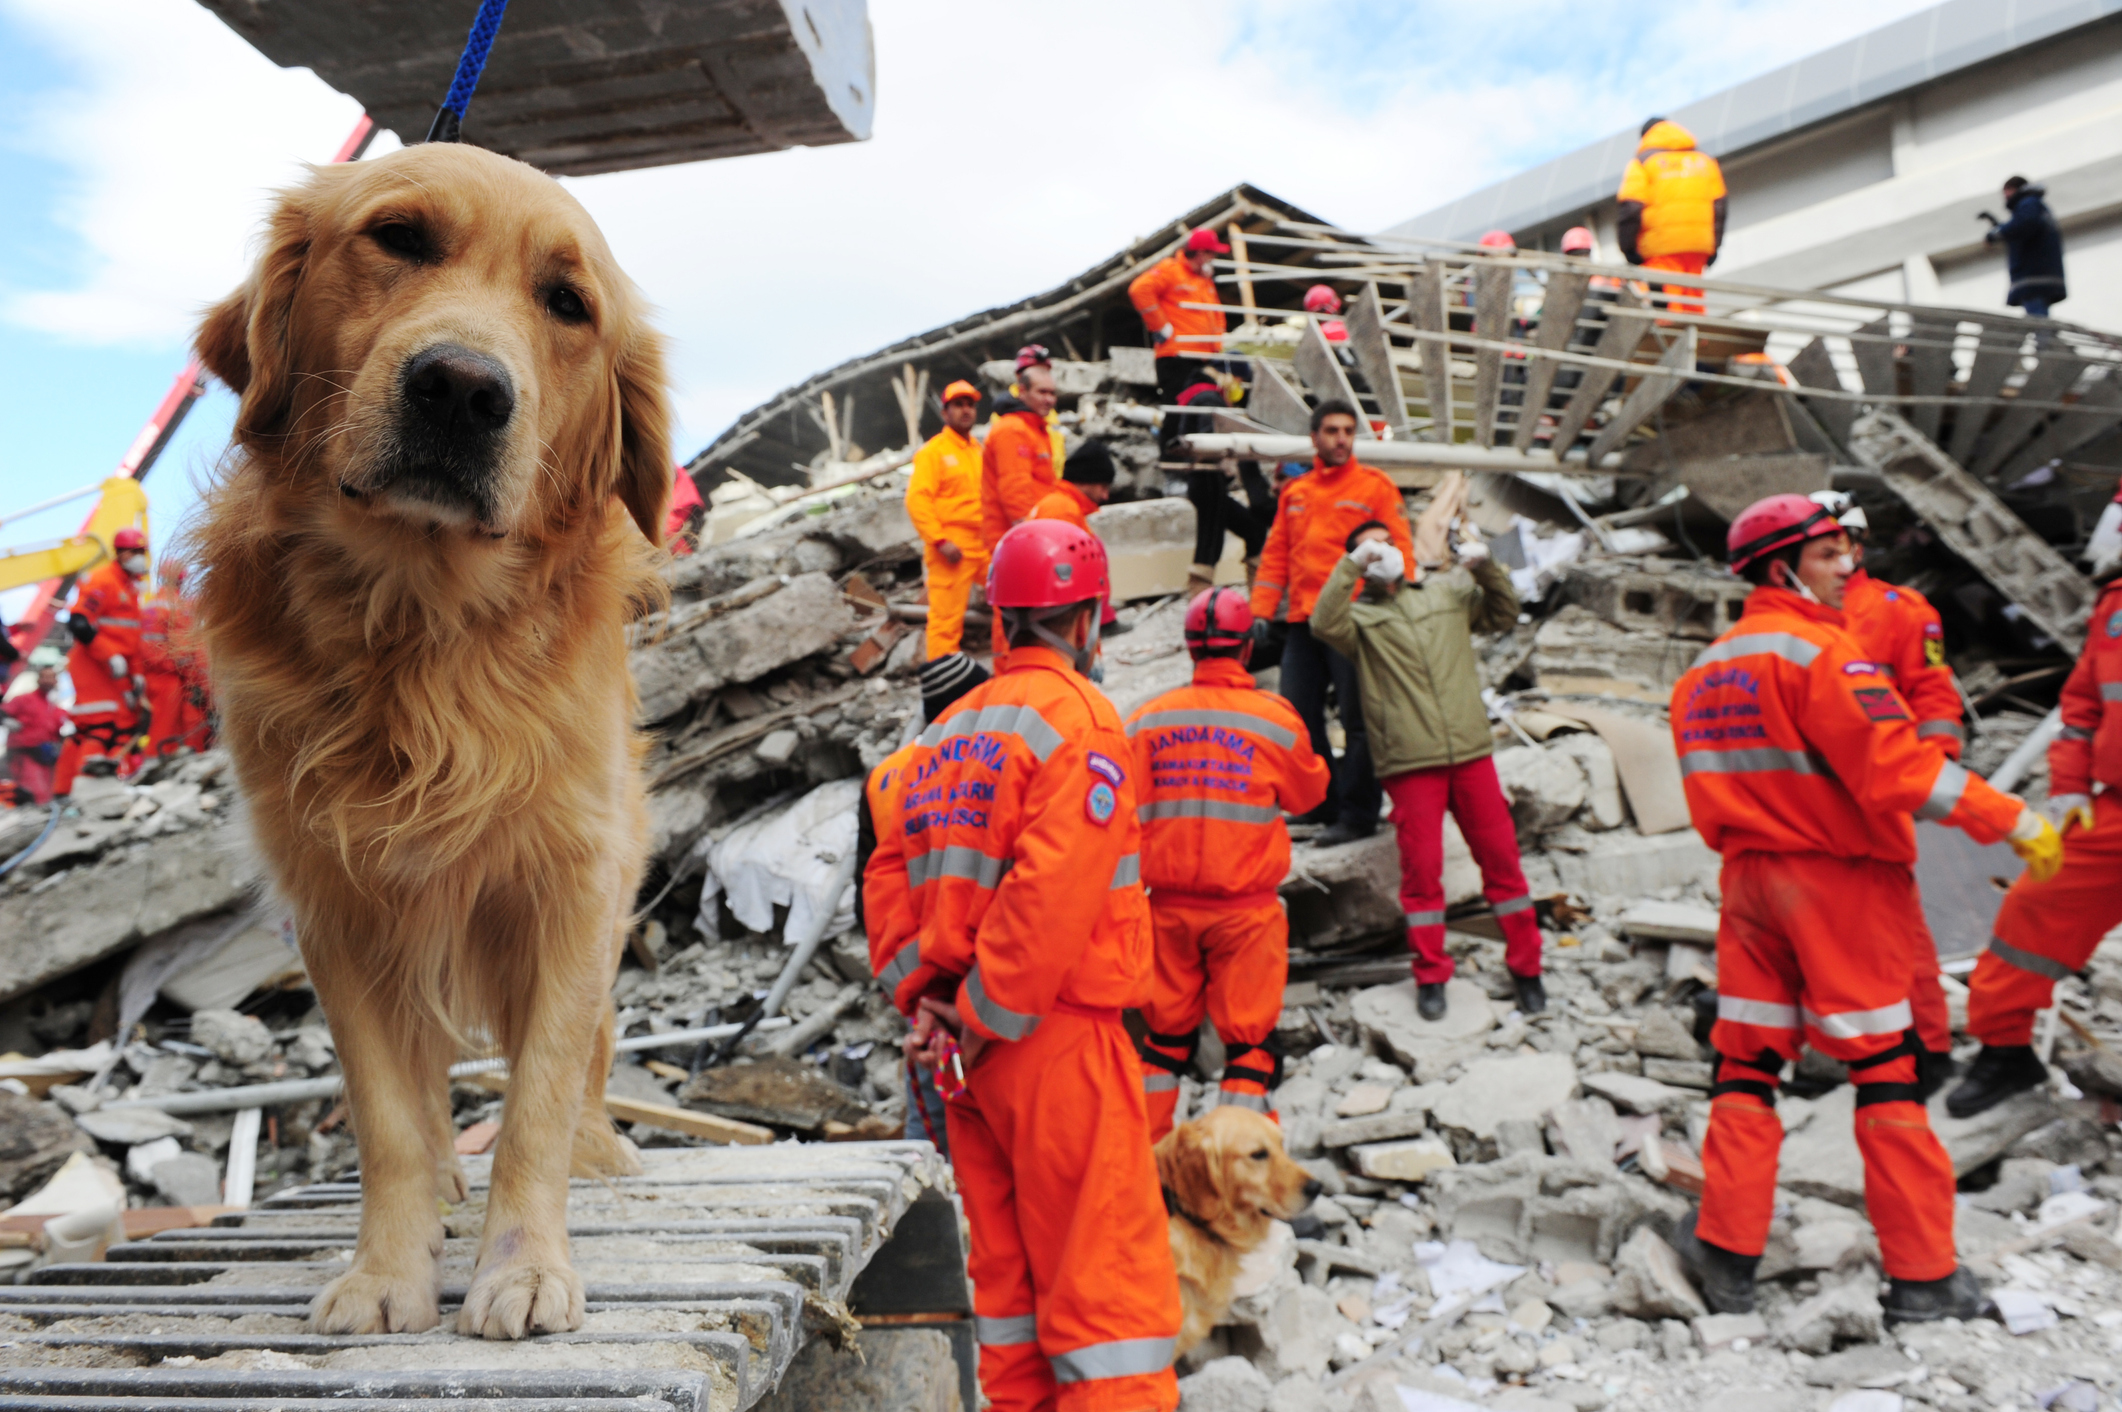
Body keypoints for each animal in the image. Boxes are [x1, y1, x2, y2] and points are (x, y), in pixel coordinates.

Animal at [193, 140, 670, 1333]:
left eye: (567, 304)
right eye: (397, 238)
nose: (461, 387)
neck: (418, 631)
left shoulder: (570, 886)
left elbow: (541, 1095)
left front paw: (525, 1265)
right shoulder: (337, 901)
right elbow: (391, 1117)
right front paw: (385, 1272)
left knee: (591, 1060)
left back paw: (601, 1150)